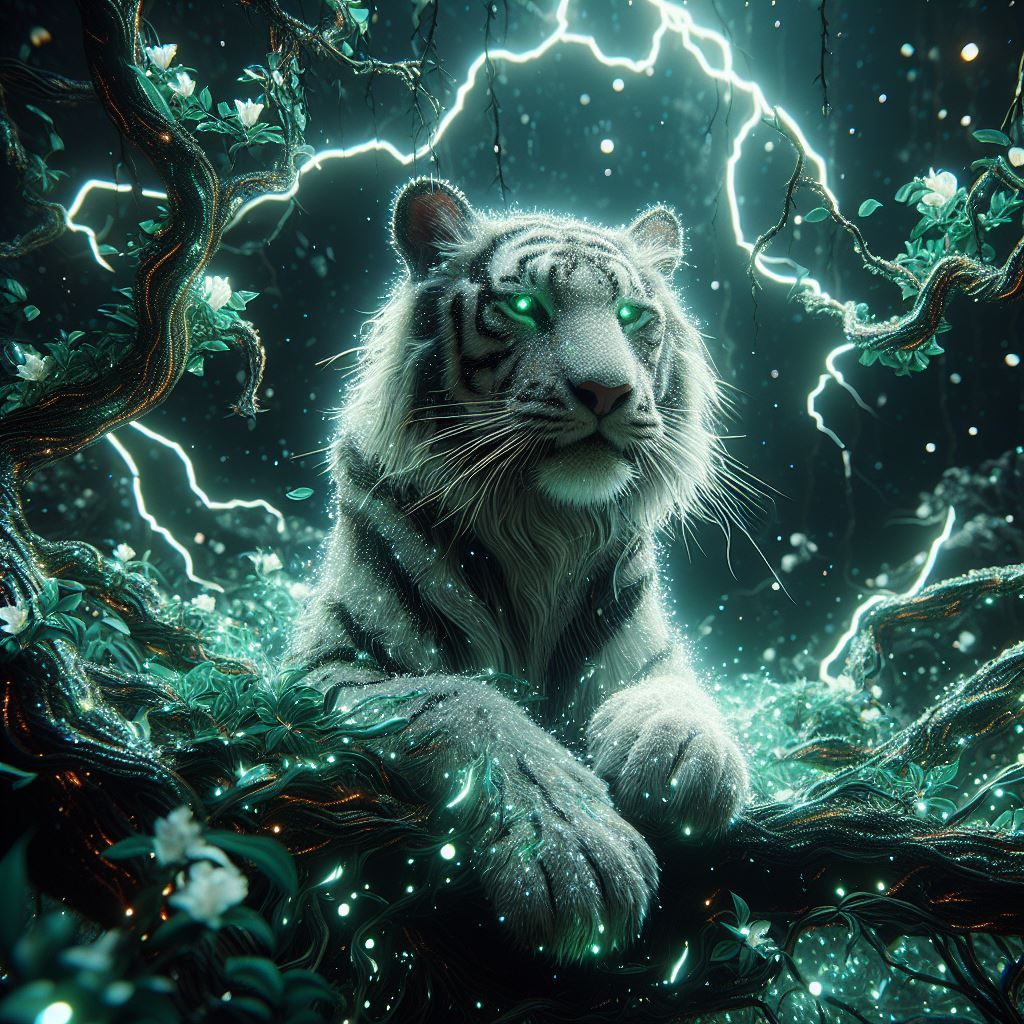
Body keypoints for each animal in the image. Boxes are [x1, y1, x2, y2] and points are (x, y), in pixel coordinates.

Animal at [292, 177, 750, 962]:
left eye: (632, 316)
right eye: (528, 307)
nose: (608, 392)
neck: (544, 530)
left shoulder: (645, 654)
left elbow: (678, 692)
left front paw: (682, 755)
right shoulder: (324, 669)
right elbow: (461, 702)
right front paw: (577, 853)